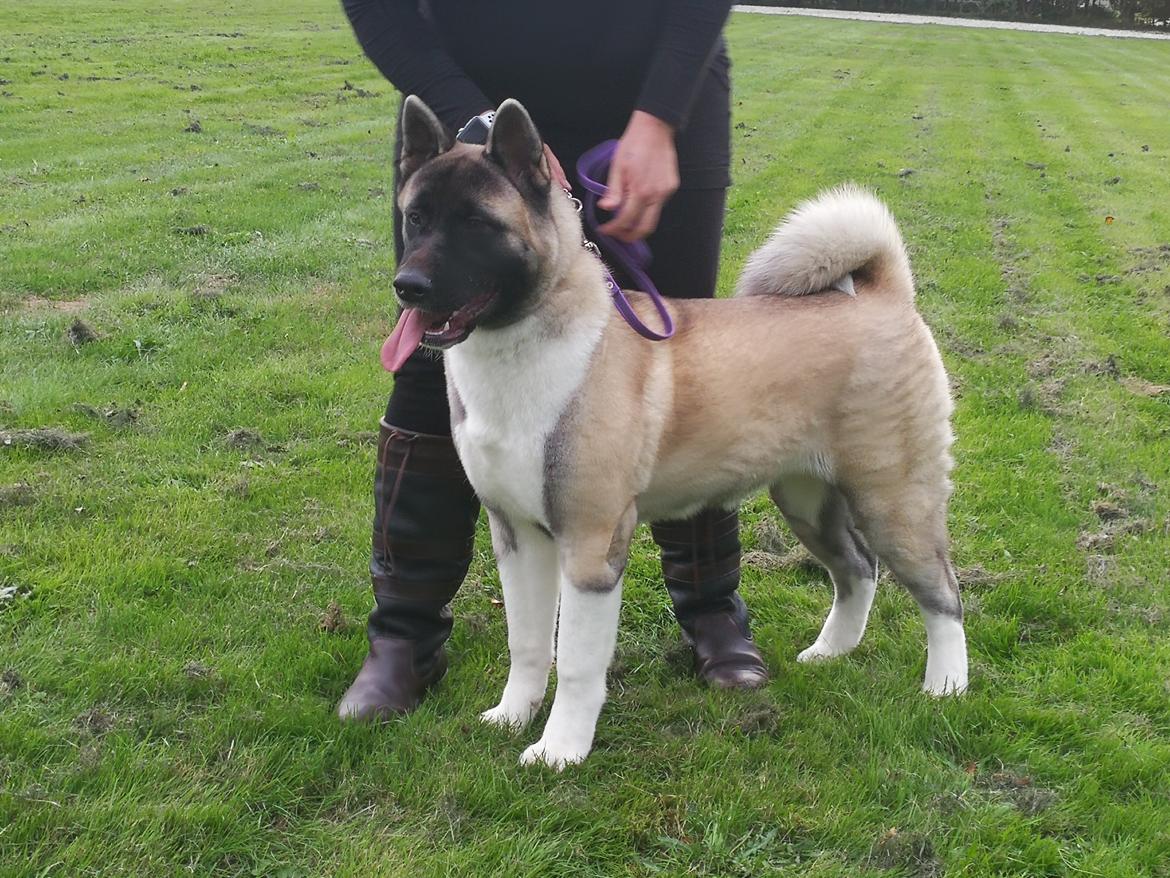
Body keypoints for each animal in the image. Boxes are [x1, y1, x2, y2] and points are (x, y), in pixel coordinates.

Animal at [379, 95, 964, 767]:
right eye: (416, 218)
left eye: (477, 224)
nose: (409, 286)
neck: (522, 346)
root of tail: (884, 297)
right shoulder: (518, 534)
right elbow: (527, 643)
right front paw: (512, 716)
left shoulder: (591, 546)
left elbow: (575, 662)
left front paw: (560, 750)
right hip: (807, 497)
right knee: (857, 569)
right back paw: (830, 653)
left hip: (893, 497)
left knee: (941, 592)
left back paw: (947, 688)